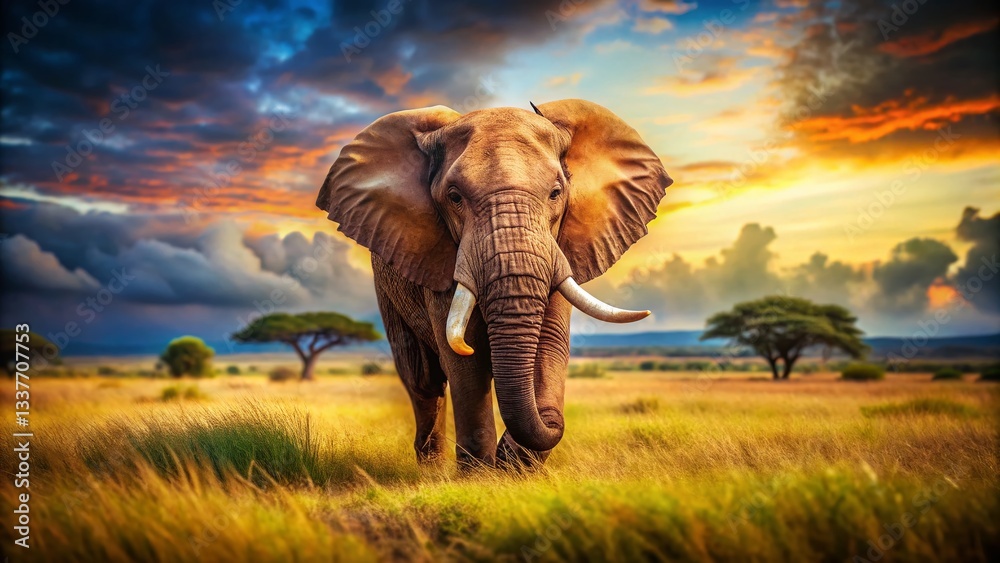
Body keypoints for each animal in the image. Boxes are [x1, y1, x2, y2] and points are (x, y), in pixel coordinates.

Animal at [316, 99, 672, 468]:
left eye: (556, 193)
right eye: (454, 197)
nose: (554, 423)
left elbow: (550, 344)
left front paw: (513, 465)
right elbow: (463, 356)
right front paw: (480, 473)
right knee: (422, 378)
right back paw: (432, 470)